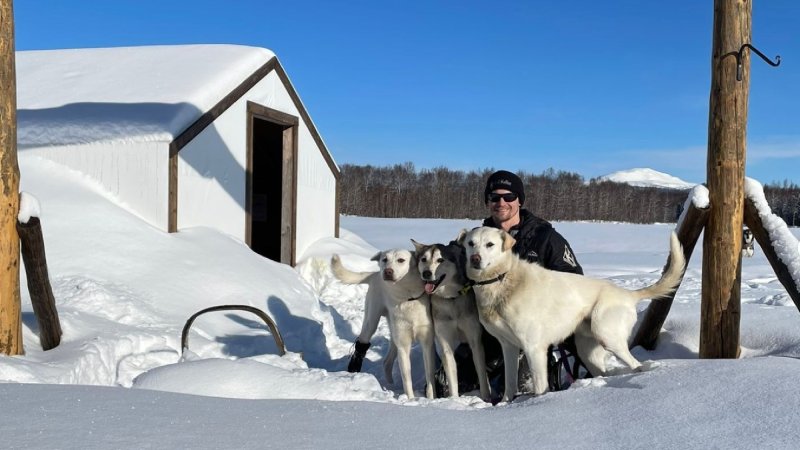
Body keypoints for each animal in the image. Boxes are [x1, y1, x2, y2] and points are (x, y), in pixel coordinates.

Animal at [328, 250, 434, 400]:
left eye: (401, 260)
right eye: (384, 259)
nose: (387, 271)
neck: (407, 297)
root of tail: (375, 274)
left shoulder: (427, 344)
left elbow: (430, 376)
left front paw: (431, 398)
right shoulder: (403, 346)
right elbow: (406, 378)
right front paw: (411, 399)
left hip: (394, 338)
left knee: (386, 362)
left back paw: (390, 385)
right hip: (371, 323)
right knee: (363, 344)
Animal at [412, 239, 494, 400]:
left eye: (440, 260)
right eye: (424, 259)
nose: (426, 273)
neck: (451, 299)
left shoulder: (475, 341)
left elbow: (481, 374)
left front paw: (486, 398)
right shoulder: (445, 344)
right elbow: (451, 379)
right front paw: (454, 401)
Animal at [460, 229, 684, 400]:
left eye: (490, 244)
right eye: (471, 243)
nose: (475, 259)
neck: (502, 279)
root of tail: (628, 294)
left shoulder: (534, 348)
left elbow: (540, 386)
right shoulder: (509, 346)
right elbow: (509, 383)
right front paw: (505, 404)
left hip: (608, 337)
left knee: (636, 364)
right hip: (588, 351)